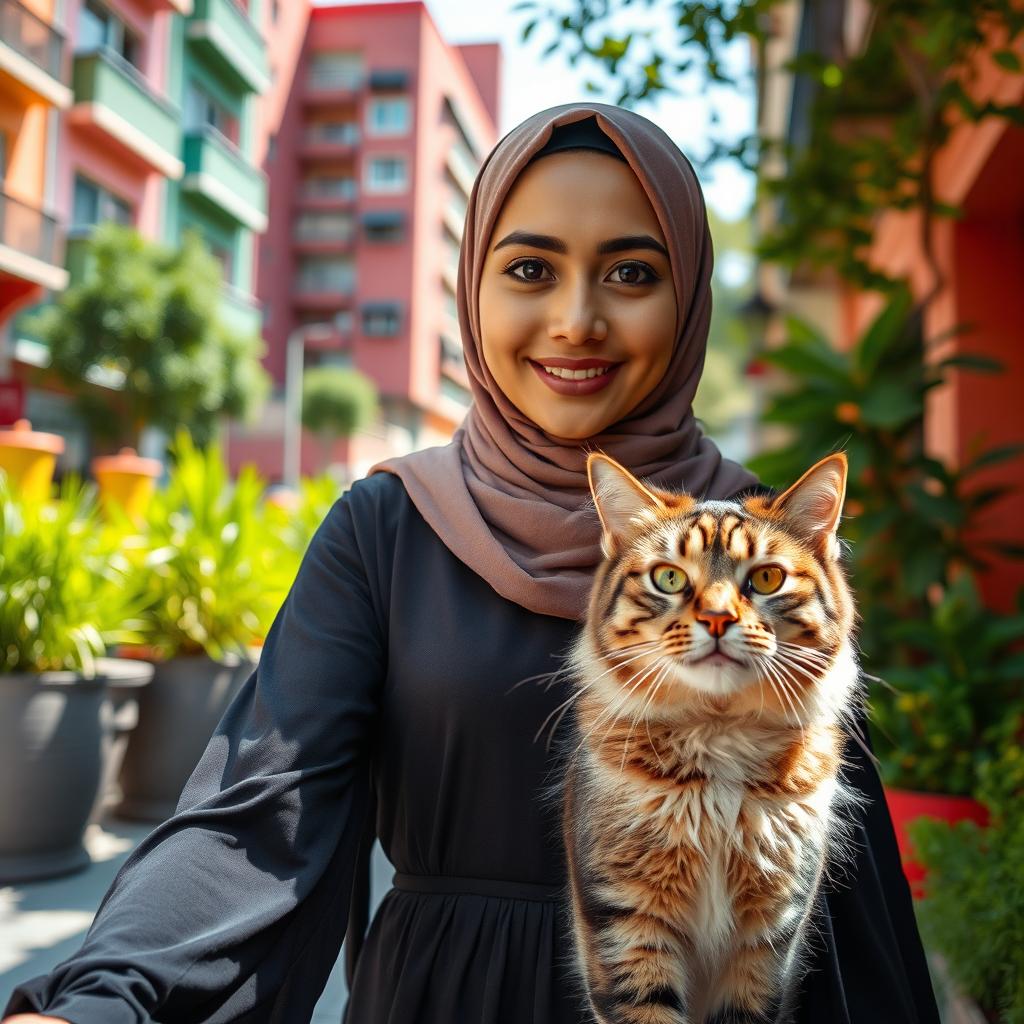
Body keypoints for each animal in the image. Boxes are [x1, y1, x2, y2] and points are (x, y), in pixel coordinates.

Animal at [565, 452, 860, 1024]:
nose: (718, 618)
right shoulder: (626, 919)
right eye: (669, 578)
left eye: (767, 578)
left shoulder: (769, 936)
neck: (720, 733)